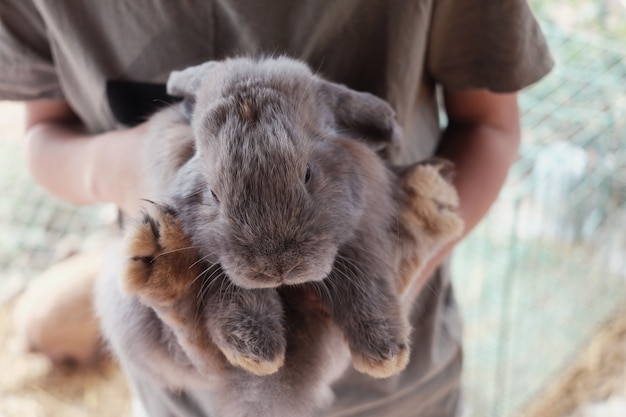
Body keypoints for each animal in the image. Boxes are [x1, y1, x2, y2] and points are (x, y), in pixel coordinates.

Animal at [95, 56, 460, 416]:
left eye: (308, 173)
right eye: (213, 193)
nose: (277, 267)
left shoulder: (362, 239)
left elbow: (367, 285)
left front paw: (385, 355)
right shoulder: (226, 267)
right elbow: (236, 295)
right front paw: (258, 351)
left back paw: (434, 201)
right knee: (201, 360)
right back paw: (161, 263)